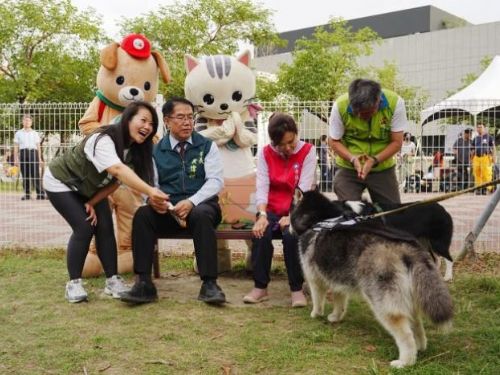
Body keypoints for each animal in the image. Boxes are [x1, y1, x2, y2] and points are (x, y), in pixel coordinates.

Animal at [290, 191, 454, 370]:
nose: (287, 227)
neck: (320, 219)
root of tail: (407, 249)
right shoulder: (338, 279)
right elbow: (340, 302)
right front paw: (336, 316)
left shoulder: (314, 278)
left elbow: (317, 299)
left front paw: (315, 314)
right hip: (408, 296)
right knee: (416, 323)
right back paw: (420, 346)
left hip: (384, 302)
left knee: (404, 333)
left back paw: (405, 361)